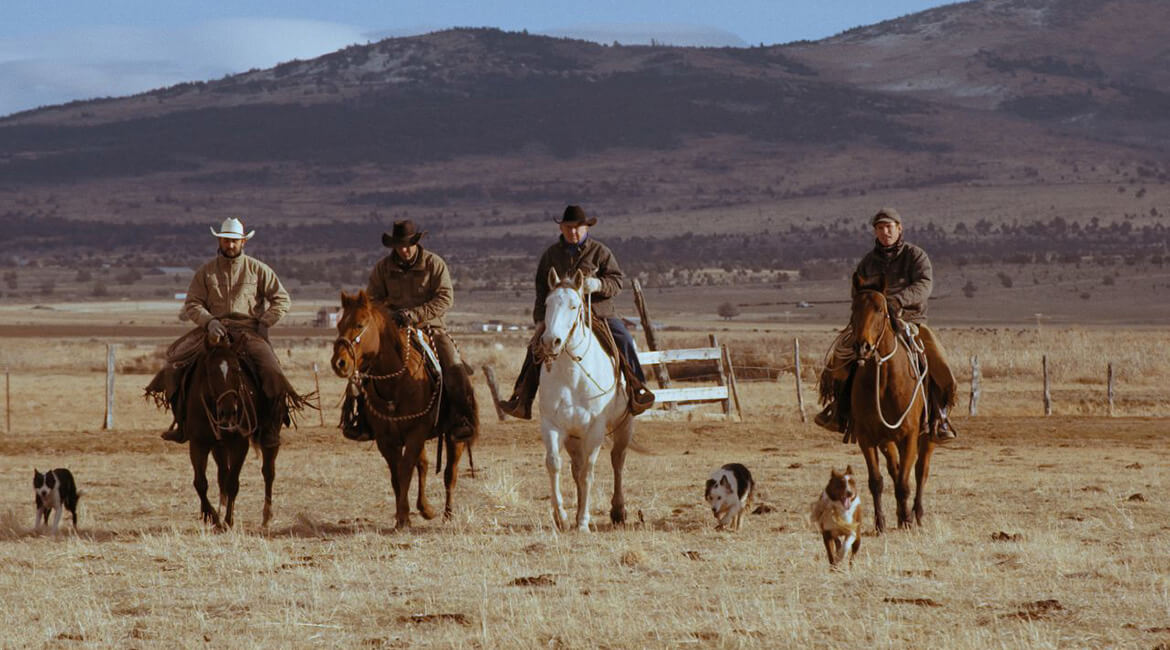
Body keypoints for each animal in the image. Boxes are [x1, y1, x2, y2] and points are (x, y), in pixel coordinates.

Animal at [329, 289, 470, 528]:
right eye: (339, 325)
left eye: (359, 324)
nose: (339, 363)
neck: (396, 382)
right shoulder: (386, 439)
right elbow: (397, 474)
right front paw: (402, 515)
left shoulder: (415, 432)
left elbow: (405, 470)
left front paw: (404, 517)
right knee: (423, 465)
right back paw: (426, 508)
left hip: (453, 437)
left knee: (450, 472)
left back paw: (448, 514)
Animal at [535, 266, 631, 530]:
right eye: (547, 304)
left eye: (574, 306)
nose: (551, 341)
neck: (572, 375)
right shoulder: (552, 425)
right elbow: (554, 464)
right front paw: (562, 516)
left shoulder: (595, 429)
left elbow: (589, 472)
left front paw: (584, 522)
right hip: (573, 437)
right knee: (575, 468)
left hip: (624, 425)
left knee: (617, 461)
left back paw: (618, 511)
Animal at [851, 271, 931, 530]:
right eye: (854, 307)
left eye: (880, 309)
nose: (863, 346)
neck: (884, 381)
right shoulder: (866, 438)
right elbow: (877, 481)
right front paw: (881, 523)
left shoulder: (911, 434)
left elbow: (905, 482)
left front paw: (907, 520)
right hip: (887, 440)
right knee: (895, 470)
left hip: (926, 437)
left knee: (920, 471)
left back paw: (916, 514)